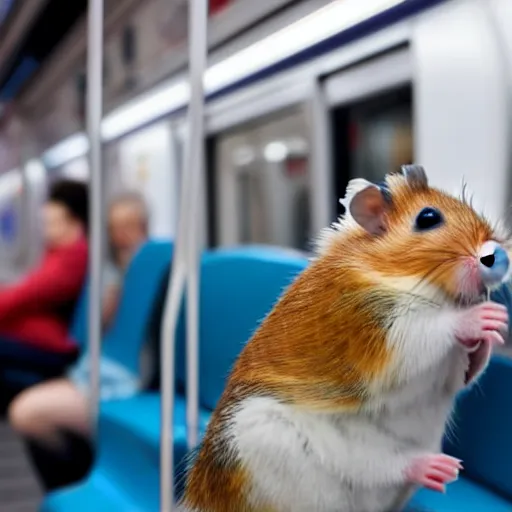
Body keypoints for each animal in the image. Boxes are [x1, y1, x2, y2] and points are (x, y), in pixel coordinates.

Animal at [178, 166, 510, 512]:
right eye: (428, 218)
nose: (497, 256)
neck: (403, 277)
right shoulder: (378, 329)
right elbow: (431, 329)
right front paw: (483, 317)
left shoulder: (449, 373)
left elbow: (467, 372)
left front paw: (495, 327)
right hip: (273, 437)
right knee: (374, 465)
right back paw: (436, 467)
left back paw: (442, 471)